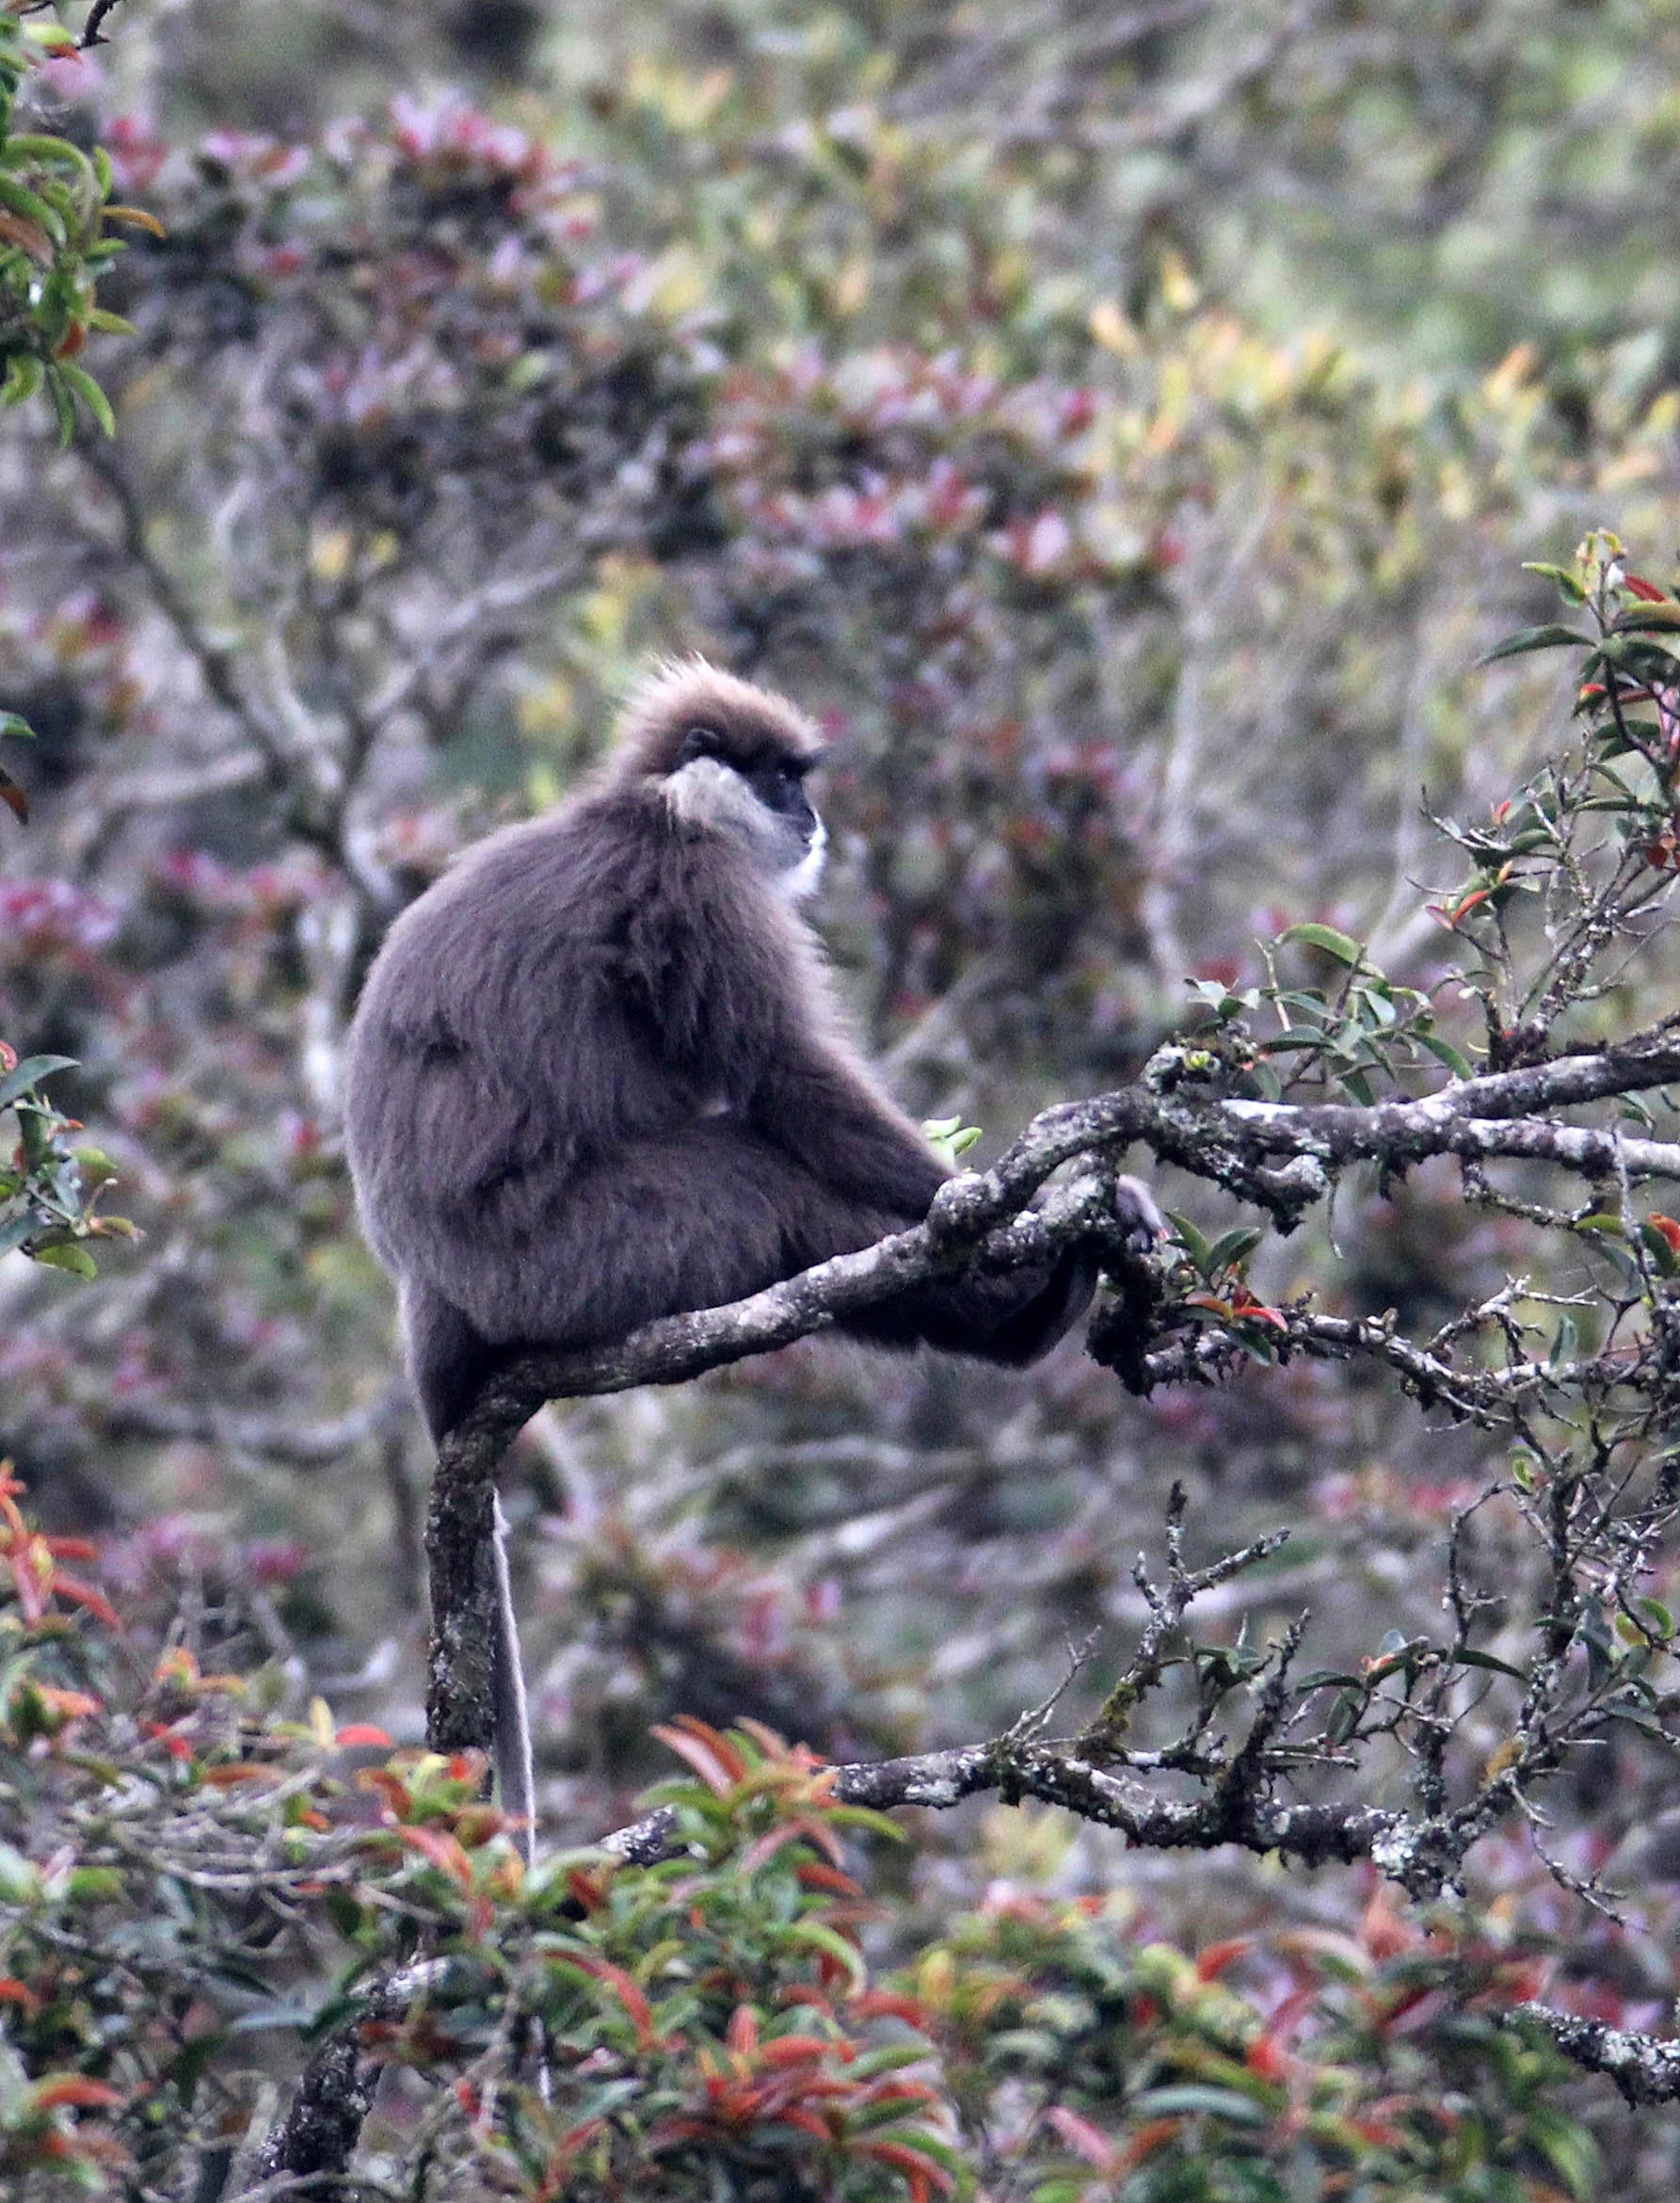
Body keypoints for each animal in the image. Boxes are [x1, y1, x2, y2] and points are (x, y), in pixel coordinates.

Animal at [342, 660, 1161, 1844]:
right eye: (780, 777)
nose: (812, 818)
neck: (655, 812)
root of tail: (429, 1292)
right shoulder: (699, 891)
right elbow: (789, 1079)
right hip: (590, 1253)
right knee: (764, 1185)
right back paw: (1025, 1301)